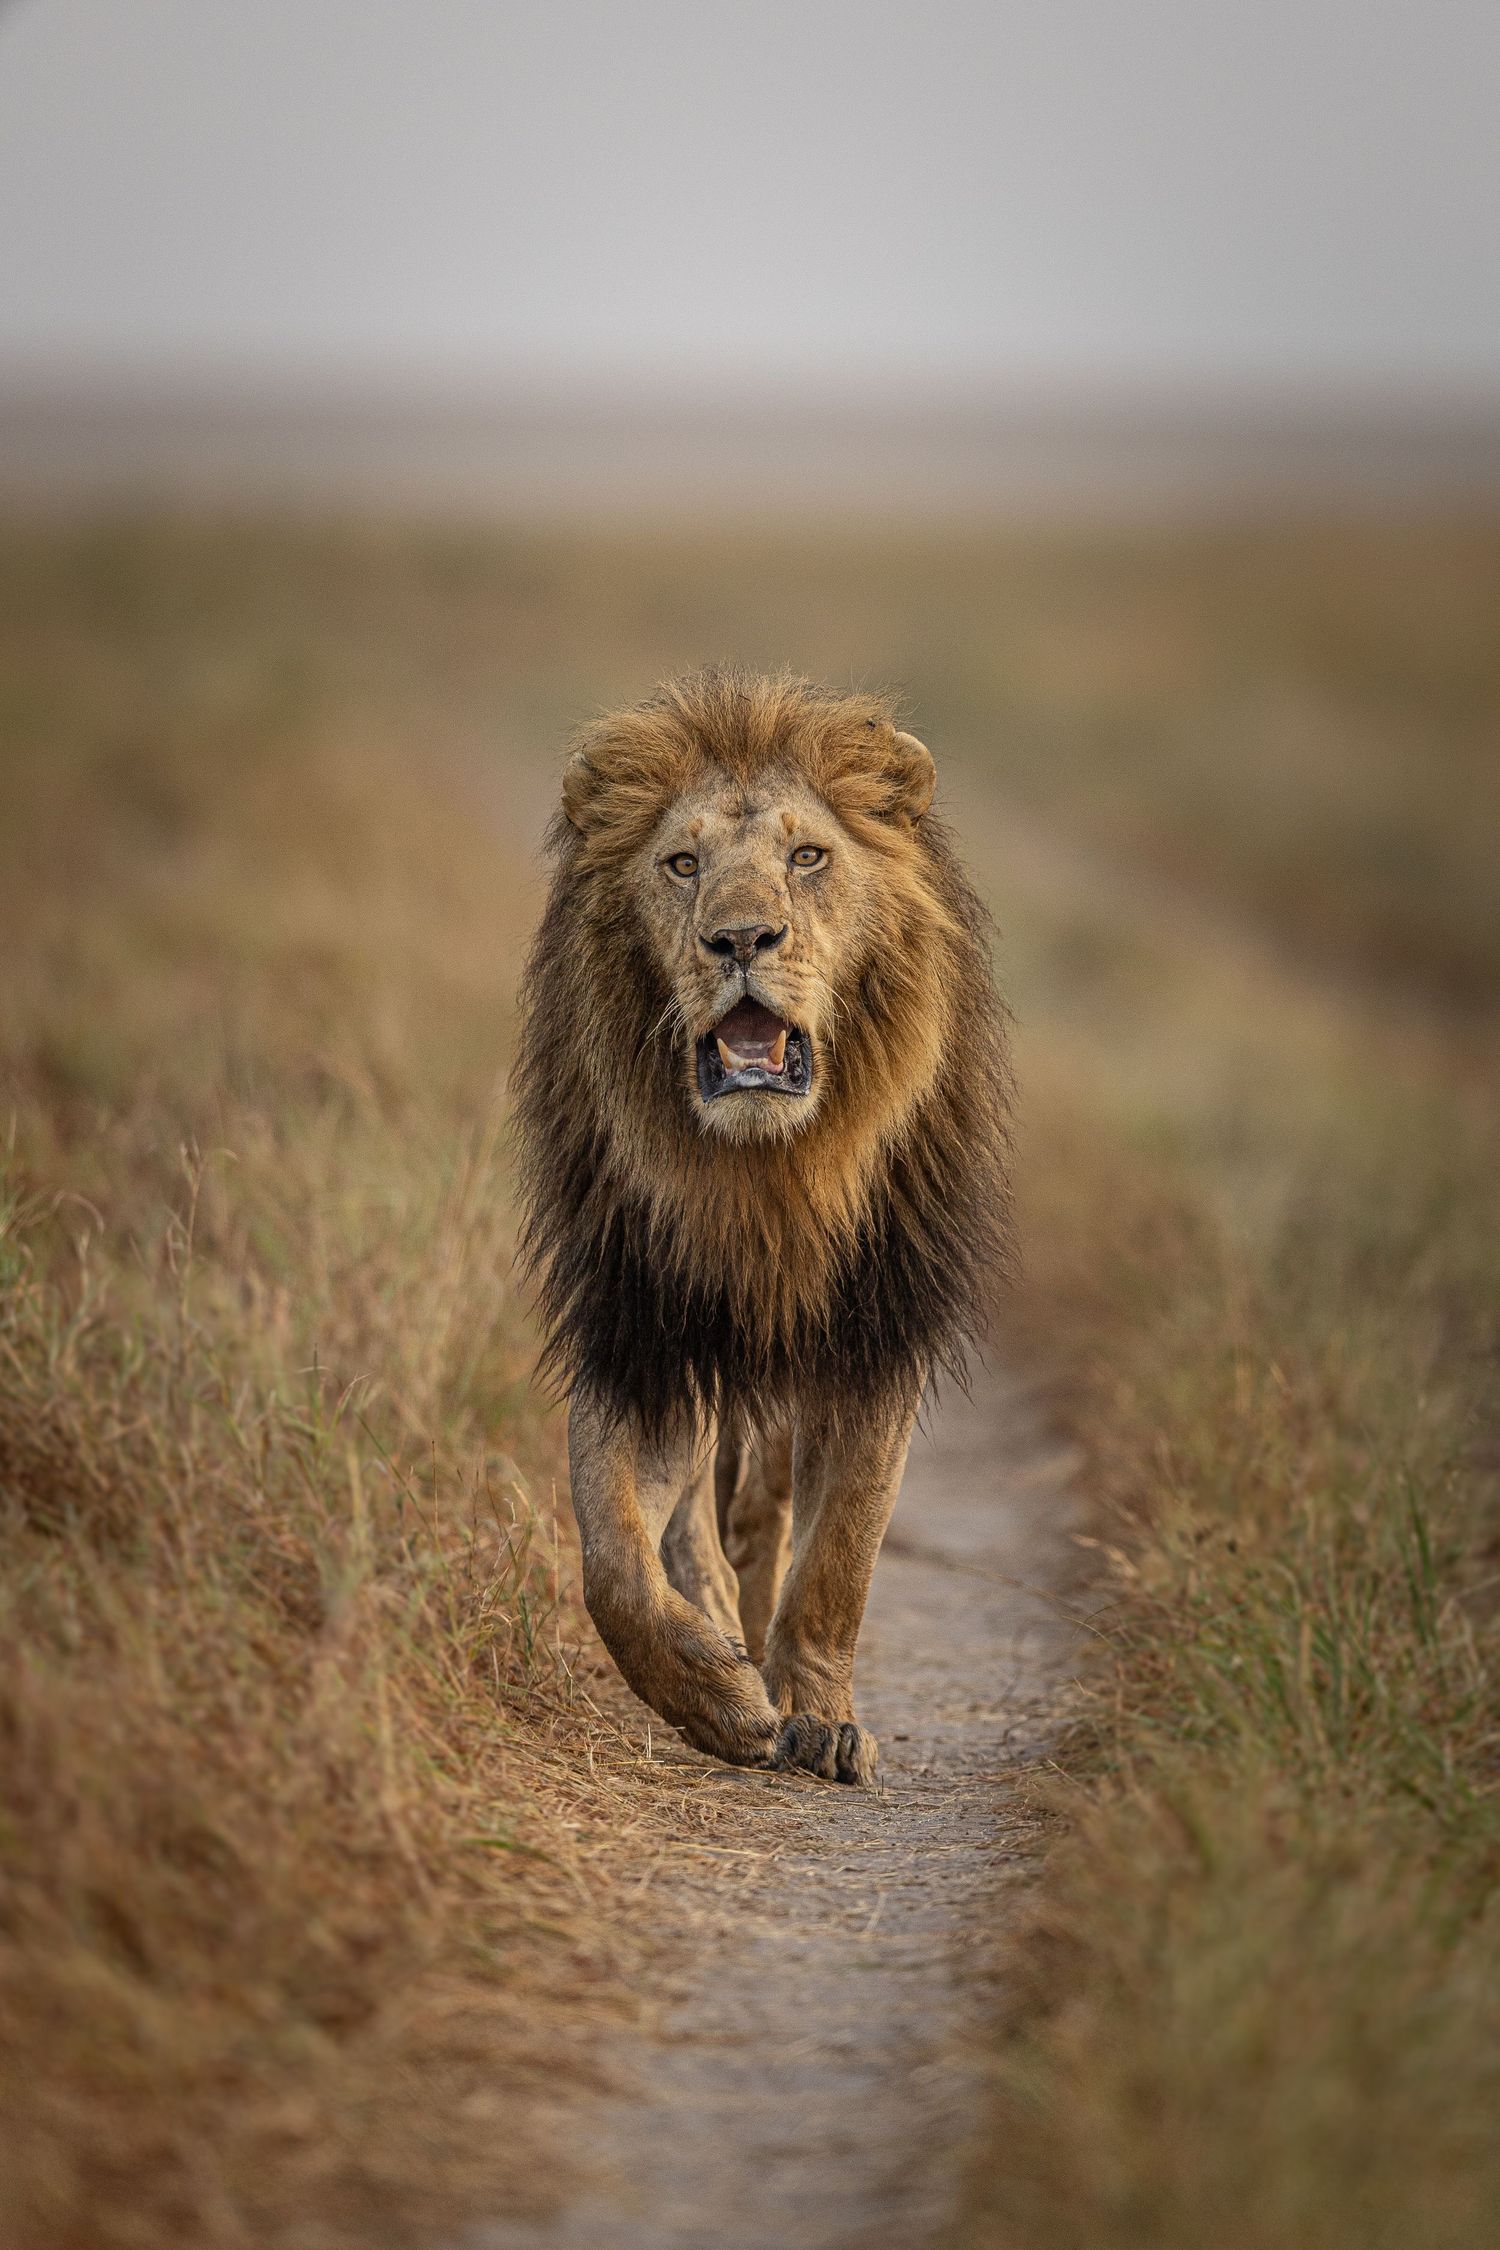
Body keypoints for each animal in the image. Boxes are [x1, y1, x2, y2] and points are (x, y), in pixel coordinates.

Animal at [513, 670, 1011, 1783]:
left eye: (808, 857)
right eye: (682, 864)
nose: (740, 940)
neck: (765, 1176)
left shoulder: (875, 1331)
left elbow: (842, 1552)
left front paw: (819, 1715)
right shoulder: (641, 1333)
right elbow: (612, 1559)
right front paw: (719, 1699)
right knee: (696, 1519)